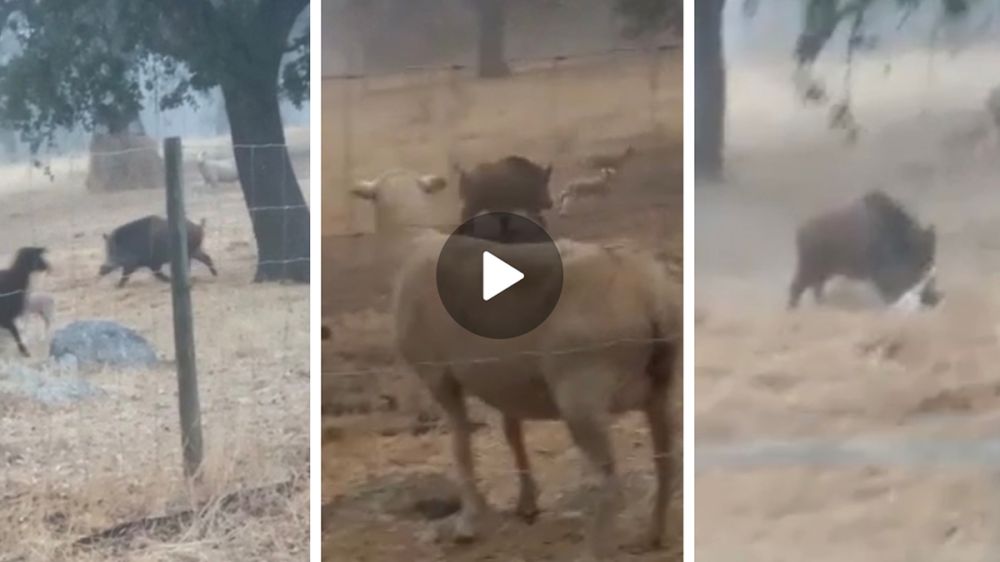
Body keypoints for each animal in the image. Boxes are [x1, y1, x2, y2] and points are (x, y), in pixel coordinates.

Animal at [390, 230, 680, 556]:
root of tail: (651, 298)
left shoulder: (439, 376)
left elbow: (461, 446)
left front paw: (468, 522)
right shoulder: (506, 385)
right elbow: (512, 434)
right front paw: (526, 502)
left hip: (581, 394)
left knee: (611, 484)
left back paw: (594, 551)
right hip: (660, 390)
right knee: (667, 464)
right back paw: (654, 535)